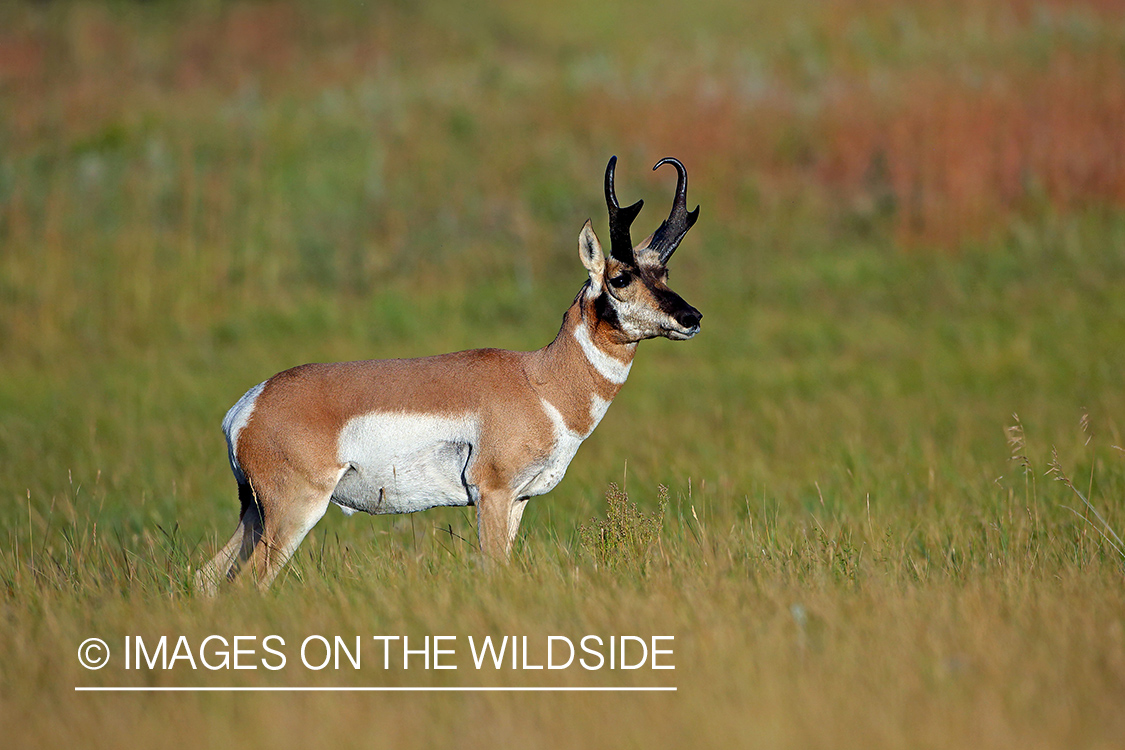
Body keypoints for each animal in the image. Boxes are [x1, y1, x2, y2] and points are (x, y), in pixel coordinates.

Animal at [197, 155, 702, 592]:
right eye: (620, 278)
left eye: (664, 272)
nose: (692, 317)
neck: (539, 381)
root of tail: (248, 406)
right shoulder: (492, 493)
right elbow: (493, 570)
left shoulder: (518, 501)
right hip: (293, 511)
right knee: (246, 584)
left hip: (254, 515)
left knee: (205, 577)